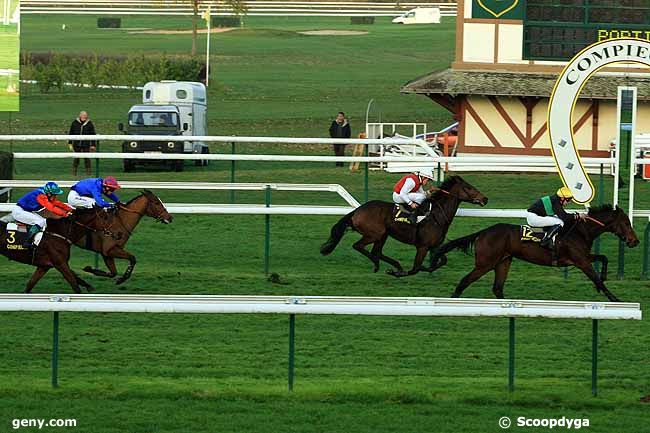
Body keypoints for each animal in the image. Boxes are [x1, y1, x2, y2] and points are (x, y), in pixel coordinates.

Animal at [318, 175, 486, 274]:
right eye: (469, 187)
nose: (485, 199)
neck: (436, 215)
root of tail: (357, 211)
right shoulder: (422, 247)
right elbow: (415, 268)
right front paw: (401, 273)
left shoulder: (434, 246)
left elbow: (441, 261)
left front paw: (429, 267)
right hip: (374, 234)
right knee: (359, 246)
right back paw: (380, 265)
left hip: (383, 235)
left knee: (376, 251)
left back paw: (392, 265)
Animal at [428, 203, 636, 300]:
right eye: (626, 223)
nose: (635, 241)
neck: (579, 230)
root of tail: (483, 232)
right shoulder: (581, 261)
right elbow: (596, 279)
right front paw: (614, 298)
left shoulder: (582, 257)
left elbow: (603, 258)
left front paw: (604, 279)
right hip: (485, 263)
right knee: (465, 281)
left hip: (503, 261)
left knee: (497, 287)